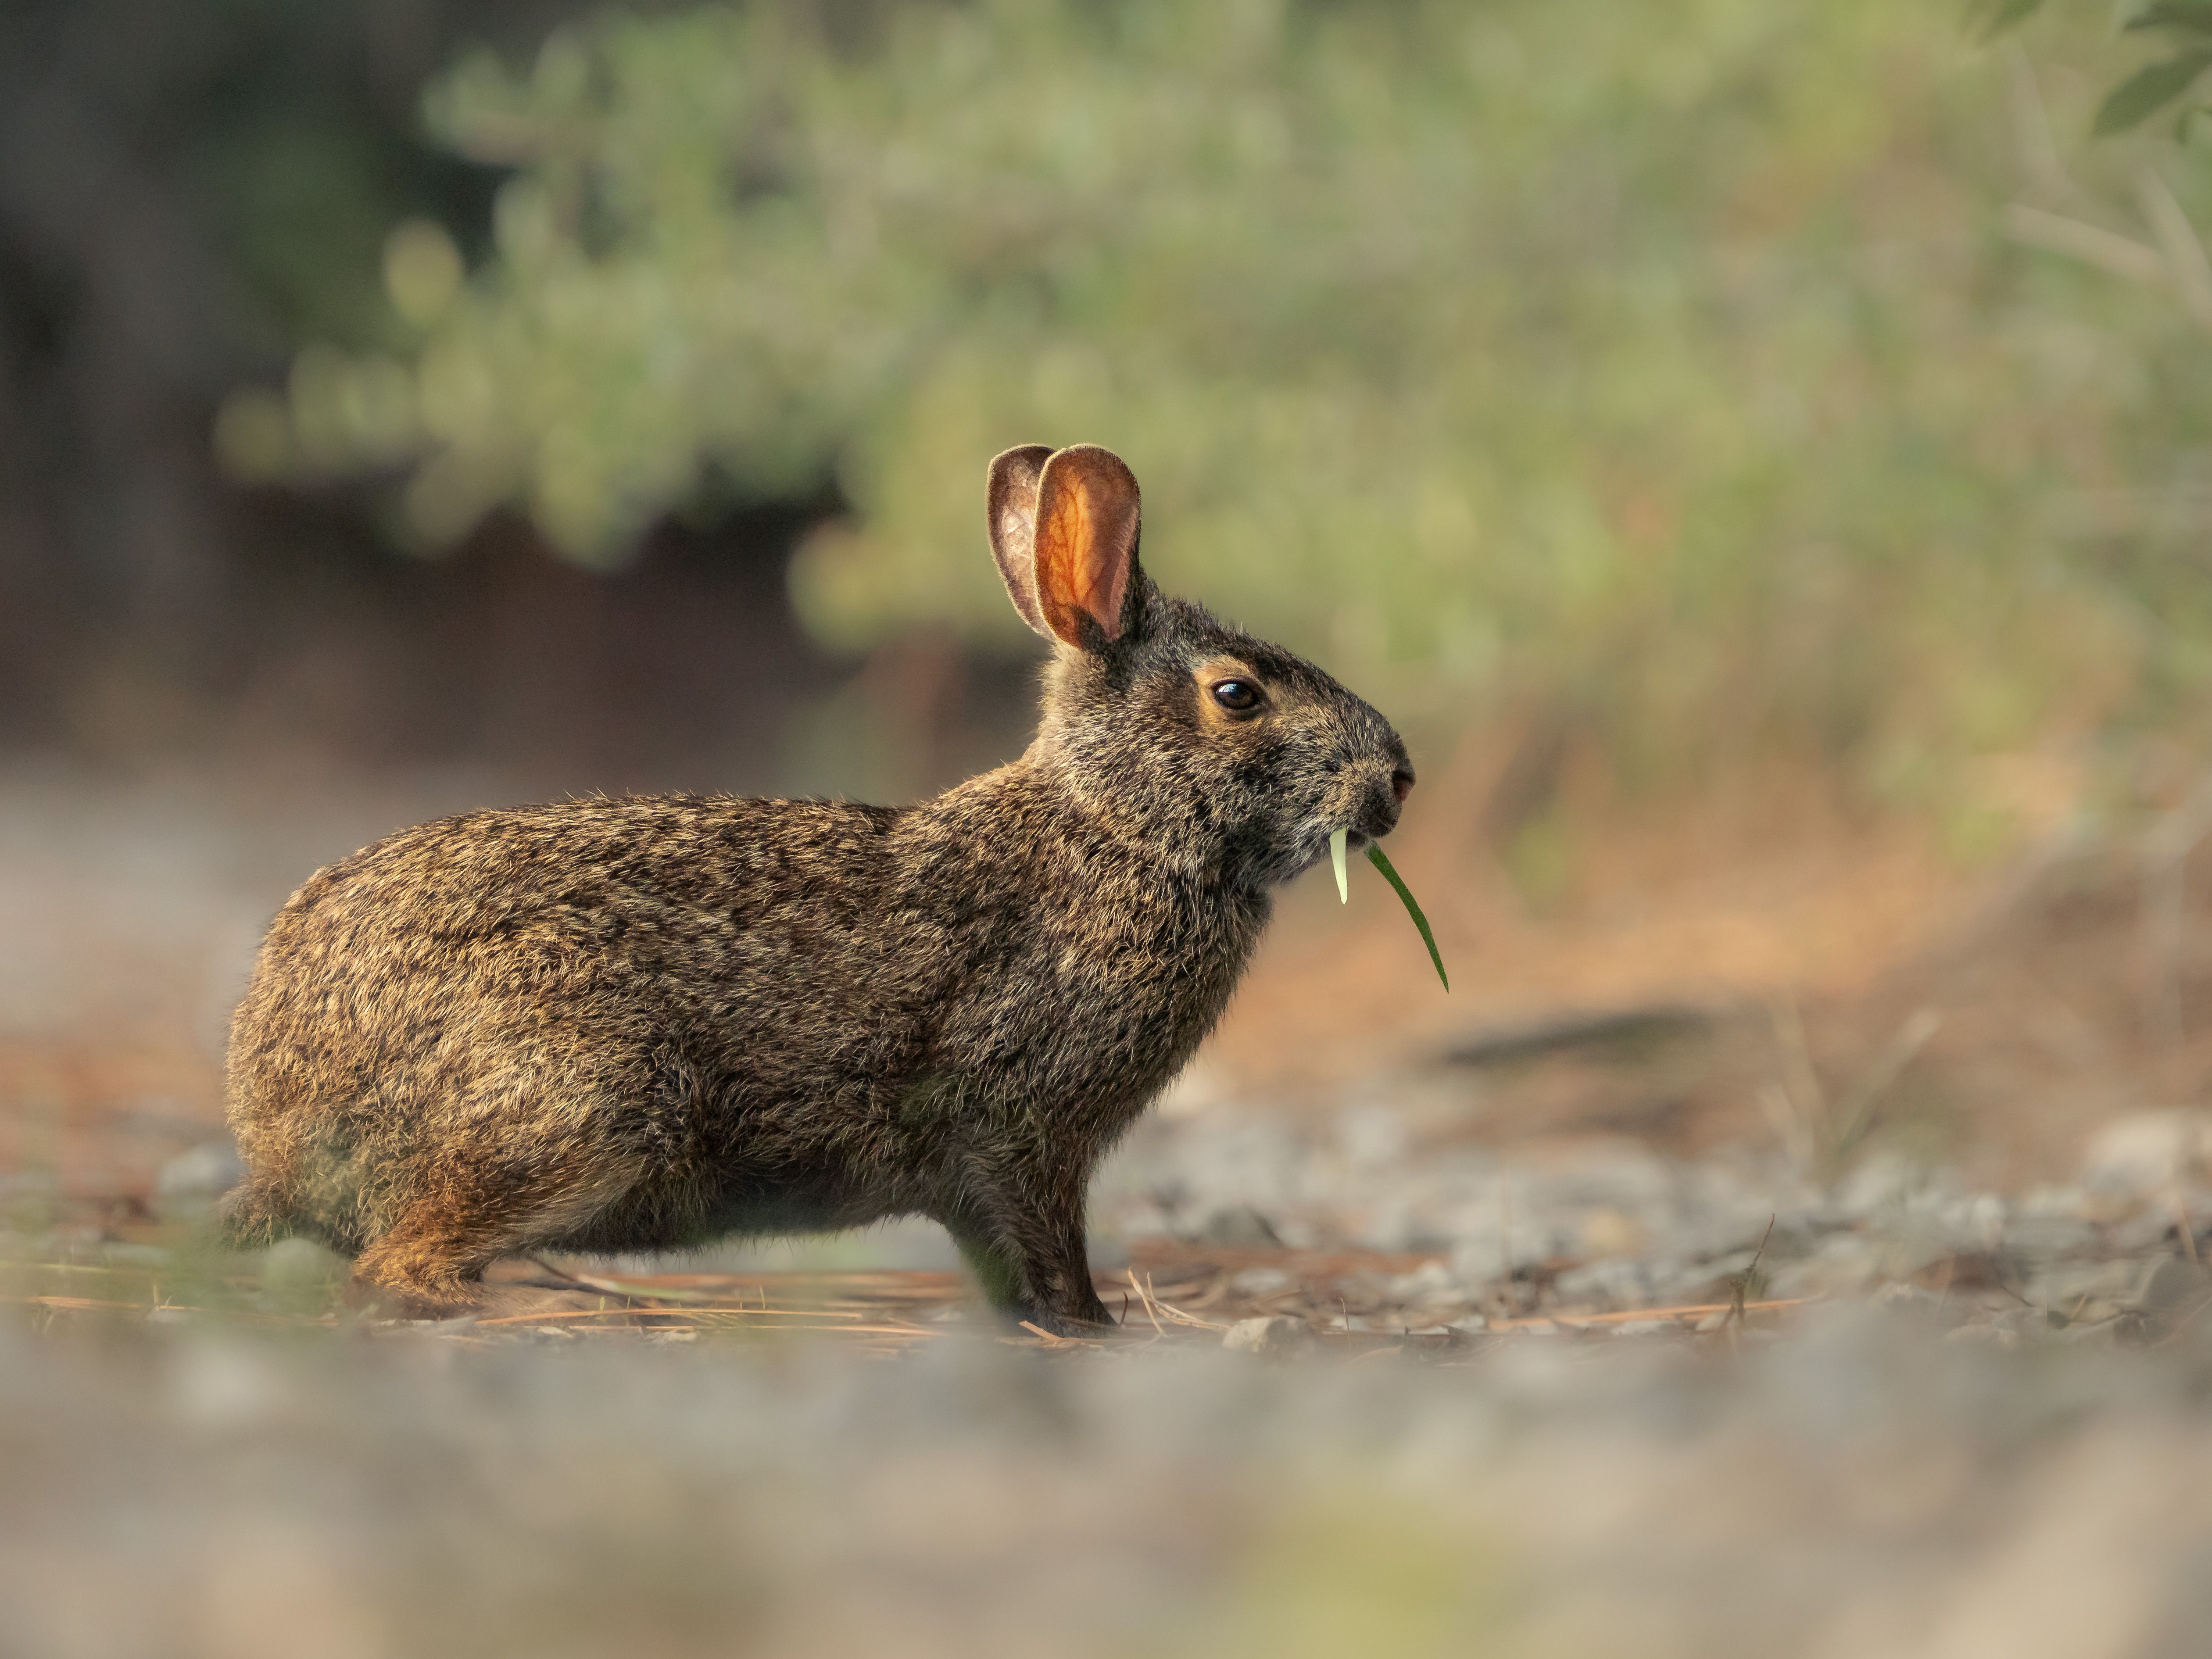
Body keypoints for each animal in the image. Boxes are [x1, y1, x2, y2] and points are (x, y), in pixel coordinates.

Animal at [219, 443, 1415, 1333]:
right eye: (1237, 694)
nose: (1396, 778)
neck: (1117, 829)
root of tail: (276, 1123)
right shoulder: (1023, 1127)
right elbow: (1047, 1244)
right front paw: (1090, 1326)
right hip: (587, 1106)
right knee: (400, 1265)